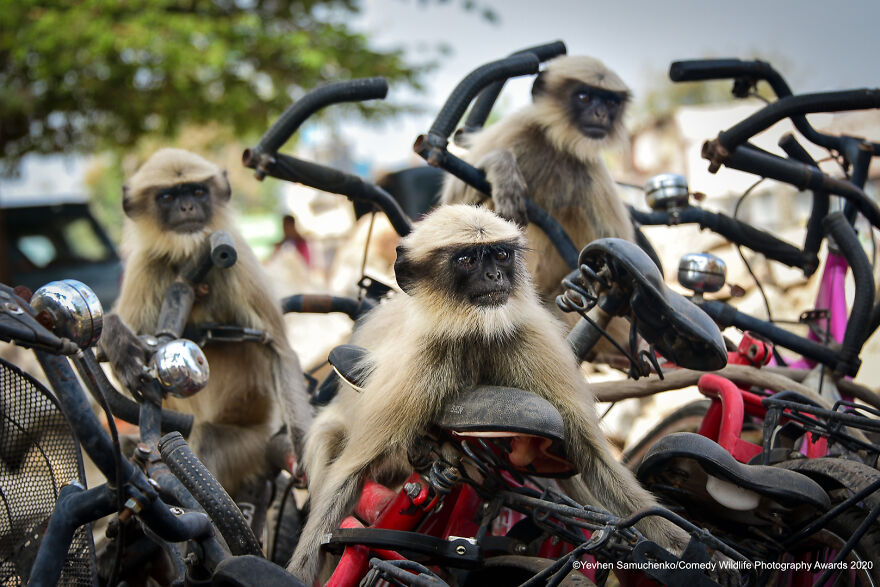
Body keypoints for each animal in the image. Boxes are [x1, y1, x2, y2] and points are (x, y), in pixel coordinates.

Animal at [100, 148, 312, 496]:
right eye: (168, 196)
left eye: (197, 191)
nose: (187, 207)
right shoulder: (145, 264)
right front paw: (116, 339)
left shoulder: (238, 260)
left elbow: (279, 350)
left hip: (251, 446)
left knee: (208, 439)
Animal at [292, 206, 696, 584]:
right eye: (468, 260)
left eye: (500, 255)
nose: (494, 276)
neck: (474, 331)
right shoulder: (423, 359)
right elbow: (349, 474)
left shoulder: (529, 341)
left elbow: (593, 457)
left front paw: (683, 547)